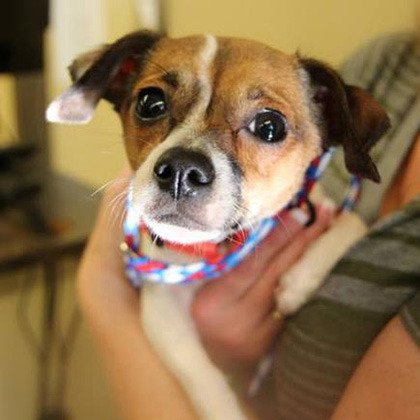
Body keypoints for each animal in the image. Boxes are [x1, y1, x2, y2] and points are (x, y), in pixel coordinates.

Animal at [47, 31, 388, 418]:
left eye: (270, 127)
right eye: (150, 103)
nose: (181, 170)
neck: (224, 246)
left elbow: (352, 222)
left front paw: (299, 282)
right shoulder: (163, 309)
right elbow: (201, 375)